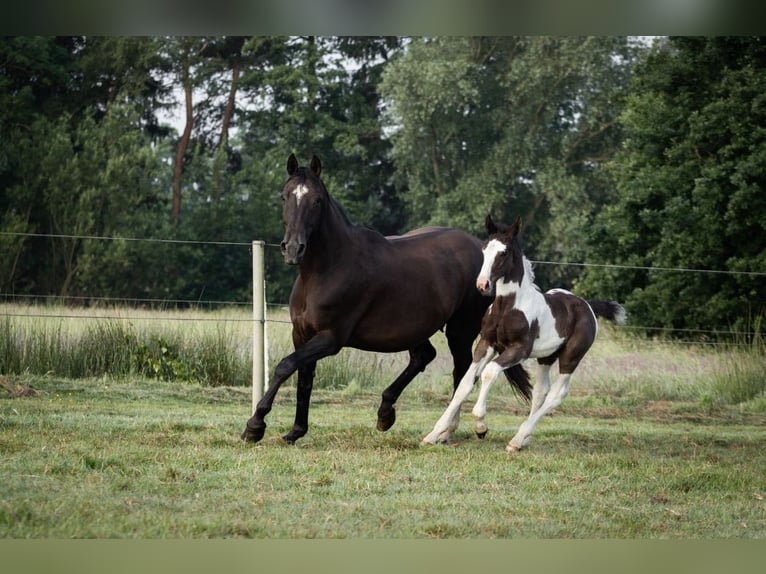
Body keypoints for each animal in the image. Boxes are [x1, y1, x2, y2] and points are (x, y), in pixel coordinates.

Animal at [243, 155, 532, 444]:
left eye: (317, 200)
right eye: (284, 196)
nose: (293, 249)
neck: (325, 269)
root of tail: (480, 251)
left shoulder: (330, 338)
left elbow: (285, 366)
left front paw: (255, 426)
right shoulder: (302, 334)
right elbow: (304, 378)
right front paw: (294, 431)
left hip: (460, 330)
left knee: (462, 372)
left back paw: (444, 430)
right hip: (416, 327)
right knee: (424, 357)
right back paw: (385, 413)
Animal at [424, 216, 628, 454]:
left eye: (503, 252)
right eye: (484, 248)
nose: (482, 285)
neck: (508, 307)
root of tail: (587, 305)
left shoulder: (519, 349)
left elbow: (489, 372)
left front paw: (480, 425)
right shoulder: (486, 343)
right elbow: (465, 383)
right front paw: (434, 434)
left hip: (571, 357)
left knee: (557, 393)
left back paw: (517, 439)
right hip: (546, 357)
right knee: (541, 392)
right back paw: (523, 439)